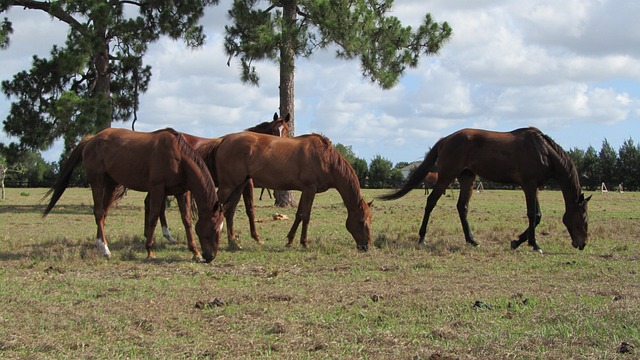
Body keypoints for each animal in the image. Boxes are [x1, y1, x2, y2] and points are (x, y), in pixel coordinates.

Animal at [42, 129, 242, 262]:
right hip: (97, 182)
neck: (178, 157)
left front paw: (195, 252)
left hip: (112, 185)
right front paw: (150, 250)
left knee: (103, 214)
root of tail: (92, 139)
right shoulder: (157, 189)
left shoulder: (182, 192)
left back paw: (100, 245)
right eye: (214, 228)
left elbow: (187, 221)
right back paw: (104, 248)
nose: (210, 256)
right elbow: (153, 217)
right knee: (98, 213)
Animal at [152, 112, 290, 248]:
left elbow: (231, 209)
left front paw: (232, 239)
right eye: (274, 129)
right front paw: (256, 237)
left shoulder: (239, 185)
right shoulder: (247, 185)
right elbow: (250, 209)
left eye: (287, 130)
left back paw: (167, 237)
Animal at [208, 131, 372, 250]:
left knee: (229, 212)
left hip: (239, 185)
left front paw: (290, 240)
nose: (367, 246)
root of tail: (223, 140)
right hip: (228, 186)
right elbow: (306, 216)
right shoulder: (310, 189)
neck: (326, 159)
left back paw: (233, 243)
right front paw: (304, 242)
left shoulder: (305, 190)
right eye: (361, 221)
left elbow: (299, 214)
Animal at [380, 127, 592, 253]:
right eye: (583, 218)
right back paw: (422, 237)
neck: (543, 151)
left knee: (462, 207)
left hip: (467, 177)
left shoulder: (535, 187)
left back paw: (471, 240)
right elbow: (532, 215)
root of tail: (445, 139)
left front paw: (516, 241)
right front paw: (534, 244)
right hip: (446, 176)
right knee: (431, 202)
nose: (582, 243)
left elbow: (538, 216)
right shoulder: (529, 185)